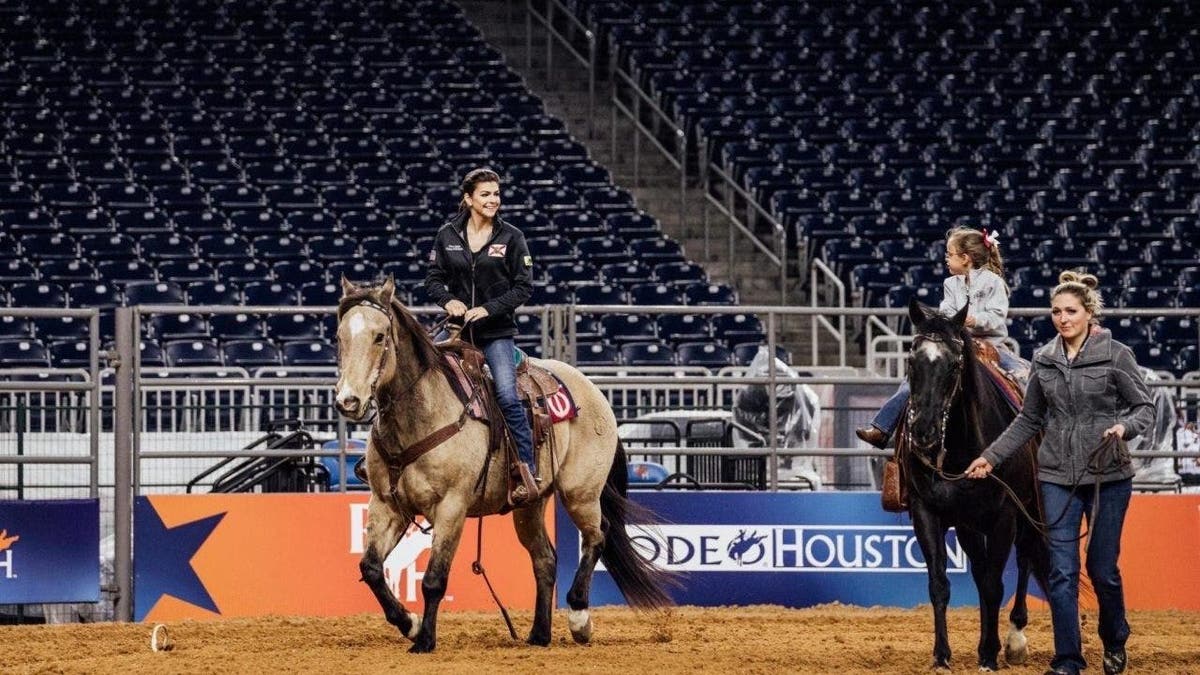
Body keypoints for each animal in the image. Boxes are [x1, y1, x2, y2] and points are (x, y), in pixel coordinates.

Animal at [333, 276, 676, 648]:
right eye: (339, 336)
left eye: (380, 336)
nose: (348, 401)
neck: (420, 416)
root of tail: (595, 392)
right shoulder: (387, 505)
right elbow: (370, 569)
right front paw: (409, 623)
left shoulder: (452, 507)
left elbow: (434, 579)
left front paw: (424, 640)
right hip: (530, 505)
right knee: (545, 559)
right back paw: (539, 633)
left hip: (580, 493)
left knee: (598, 535)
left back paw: (579, 618)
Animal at [902, 297, 1051, 667]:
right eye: (912, 361)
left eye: (954, 366)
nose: (923, 431)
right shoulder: (928, 513)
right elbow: (941, 584)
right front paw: (942, 655)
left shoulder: (1005, 516)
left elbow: (997, 585)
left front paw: (990, 653)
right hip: (970, 524)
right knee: (984, 574)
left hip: (1031, 513)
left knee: (1025, 559)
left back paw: (1014, 639)